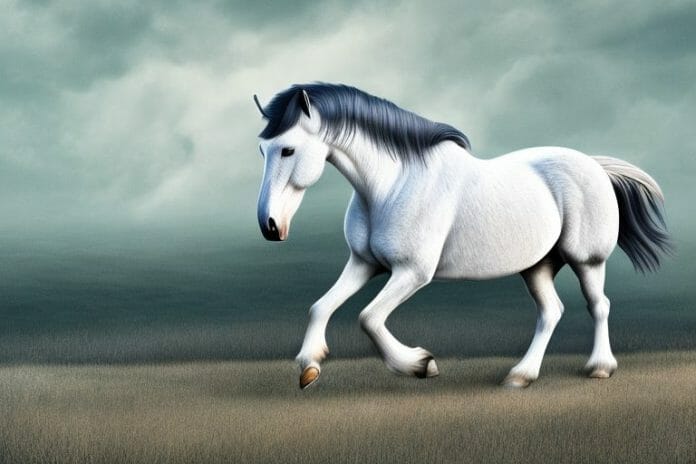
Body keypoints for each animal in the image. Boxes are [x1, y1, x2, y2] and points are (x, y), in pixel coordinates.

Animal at [253, 83, 671, 389]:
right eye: (262, 150)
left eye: (287, 149)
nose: (269, 226)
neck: (392, 185)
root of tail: (595, 166)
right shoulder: (363, 264)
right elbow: (320, 307)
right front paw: (310, 366)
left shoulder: (412, 273)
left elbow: (368, 318)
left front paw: (420, 364)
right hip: (536, 266)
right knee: (551, 312)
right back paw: (520, 376)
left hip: (587, 261)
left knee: (599, 306)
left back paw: (599, 367)